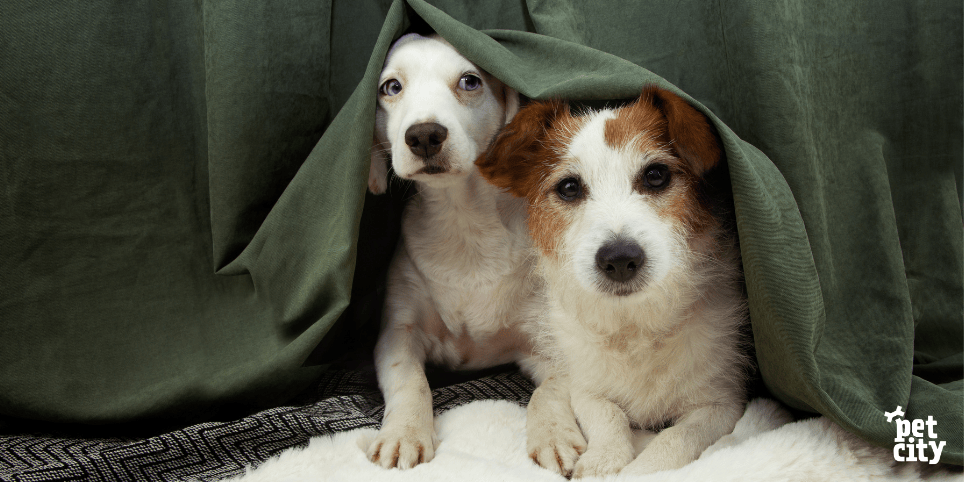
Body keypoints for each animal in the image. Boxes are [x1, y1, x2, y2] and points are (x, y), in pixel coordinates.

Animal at [366, 34, 584, 474]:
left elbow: (551, 391)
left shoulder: (550, 342)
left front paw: (553, 433)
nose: (424, 135)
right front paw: (404, 433)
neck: (464, 224)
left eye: (470, 81)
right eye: (391, 87)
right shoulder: (398, 334)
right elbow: (410, 381)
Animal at [478, 86, 748, 478]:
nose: (620, 259)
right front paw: (604, 458)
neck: (633, 325)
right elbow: (607, 414)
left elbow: (676, 437)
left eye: (656, 175)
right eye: (569, 187)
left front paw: (641, 470)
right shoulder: (586, 386)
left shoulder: (721, 403)